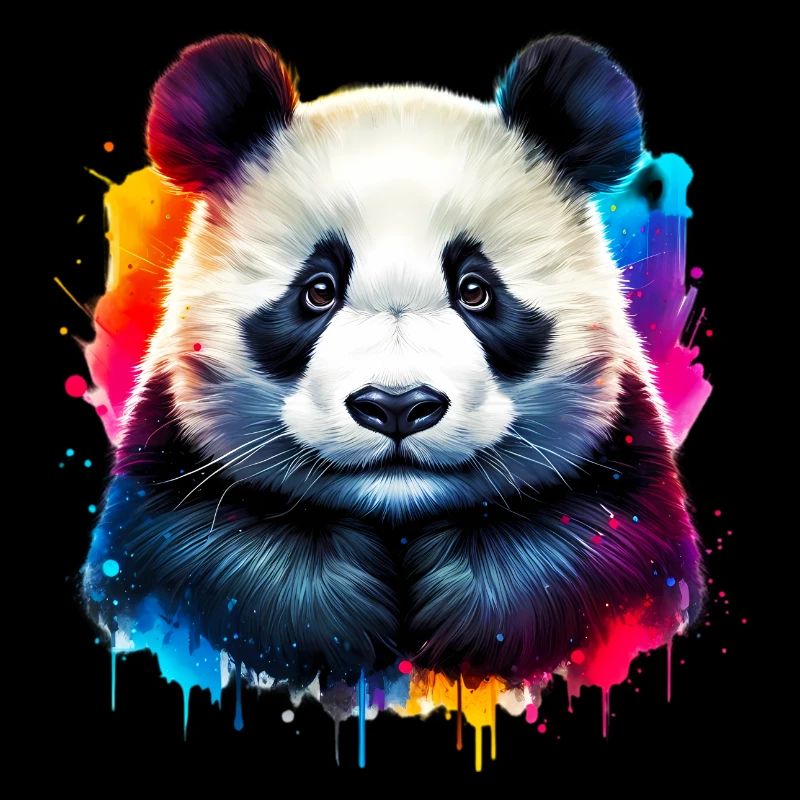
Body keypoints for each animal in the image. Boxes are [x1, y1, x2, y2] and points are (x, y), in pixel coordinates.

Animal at [83, 33, 704, 690]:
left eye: (476, 290)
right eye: (318, 290)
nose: (398, 407)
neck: (396, 512)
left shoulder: (623, 448)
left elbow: (612, 543)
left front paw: (462, 602)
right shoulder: (168, 452)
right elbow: (182, 547)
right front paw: (338, 612)